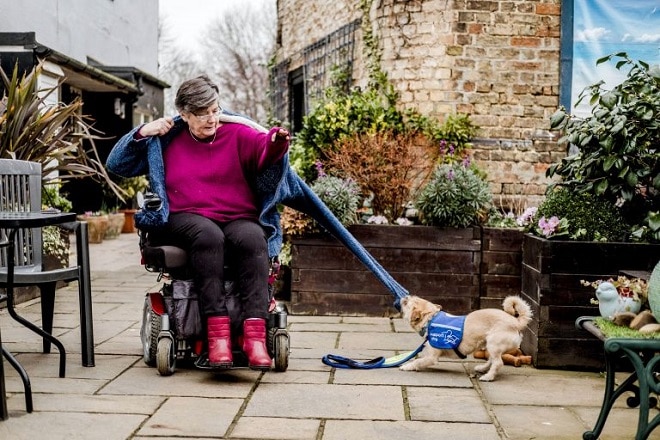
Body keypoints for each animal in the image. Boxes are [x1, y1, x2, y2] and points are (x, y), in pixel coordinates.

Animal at [398, 294, 532, 380]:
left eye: (408, 303)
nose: (405, 296)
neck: (431, 319)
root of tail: (516, 321)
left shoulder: (431, 357)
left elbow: (418, 361)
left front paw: (407, 366)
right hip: (490, 346)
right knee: (492, 360)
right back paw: (482, 368)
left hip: (494, 344)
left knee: (498, 363)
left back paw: (488, 377)